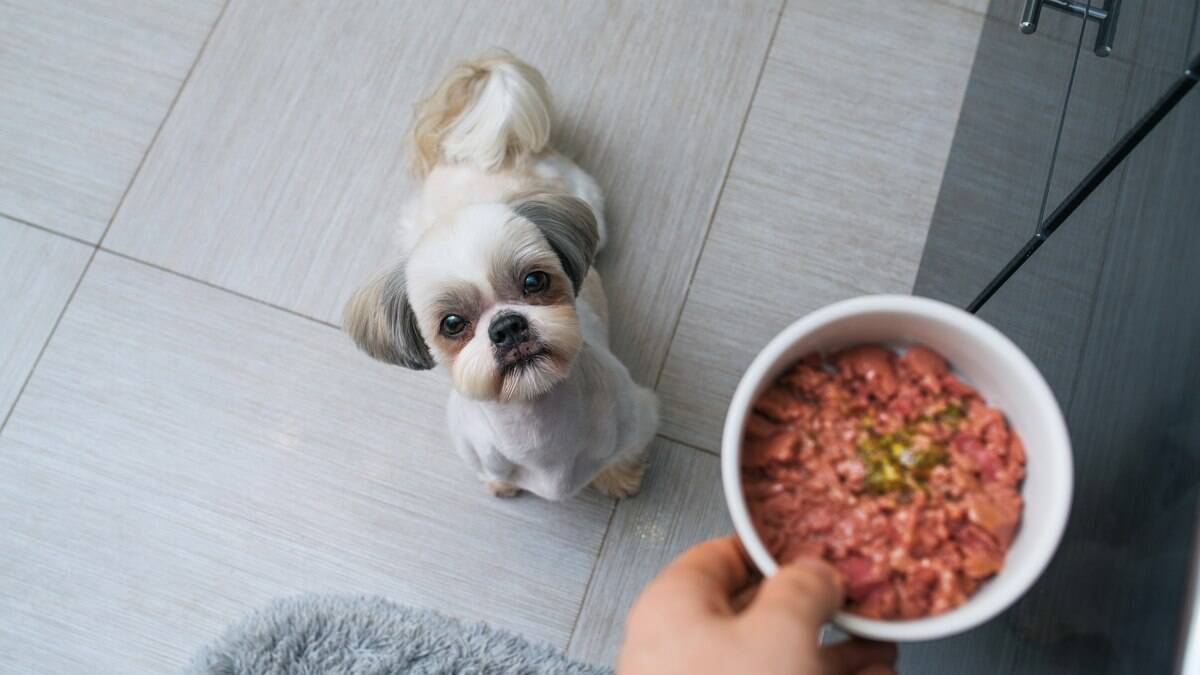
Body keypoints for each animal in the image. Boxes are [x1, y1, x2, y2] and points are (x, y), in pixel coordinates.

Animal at [343, 49, 662, 497]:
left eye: (534, 281)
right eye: (452, 323)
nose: (507, 326)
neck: (537, 430)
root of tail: (481, 152)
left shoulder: (638, 420)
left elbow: (623, 456)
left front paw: (619, 480)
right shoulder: (474, 451)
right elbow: (493, 474)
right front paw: (502, 487)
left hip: (588, 200)